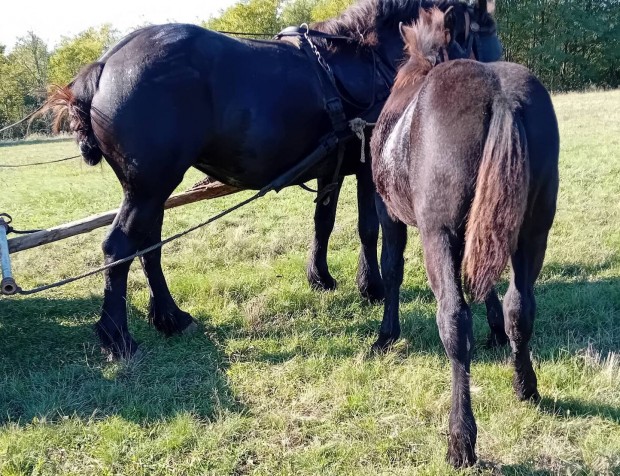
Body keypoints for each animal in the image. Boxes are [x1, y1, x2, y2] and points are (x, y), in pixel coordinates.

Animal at [42, 0, 498, 356]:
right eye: (484, 31)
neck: (364, 59)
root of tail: (105, 64)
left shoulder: (334, 168)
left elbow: (324, 222)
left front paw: (321, 277)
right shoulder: (368, 167)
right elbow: (368, 230)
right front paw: (372, 286)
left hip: (149, 191)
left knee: (148, 248)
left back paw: (170, 317)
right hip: (149, 188)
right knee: (119, 247)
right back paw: (118, 336)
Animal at [370, 6, 560, 468]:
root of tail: (502, 96)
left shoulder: (390, 215)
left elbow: (392, 269)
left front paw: (386, 335)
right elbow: (485, 281)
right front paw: (495, 332)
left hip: (436, 234)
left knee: (454, 320)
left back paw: (461, 440)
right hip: (533, 231)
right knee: (520, 306)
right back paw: (525, 387)